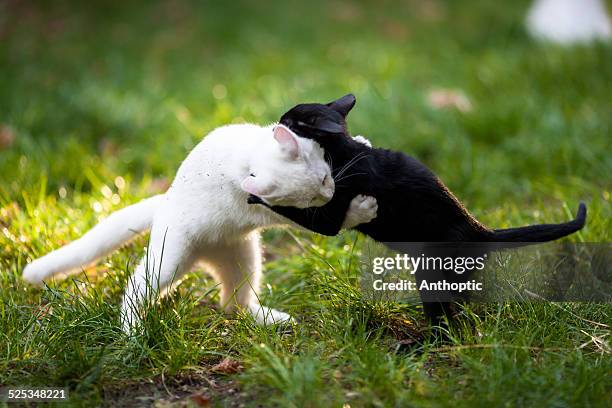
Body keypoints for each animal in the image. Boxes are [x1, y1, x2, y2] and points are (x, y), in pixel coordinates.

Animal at [22, 123, 378, 332]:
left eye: (324, 179)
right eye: (311, 198)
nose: (329, 193)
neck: (248, 158)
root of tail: (165, 201)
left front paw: (361, 140)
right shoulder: (285, 213)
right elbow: (335, 219)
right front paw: (362, 209)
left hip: (245, 259)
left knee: (234, 304)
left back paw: (267, 319)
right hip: (166, 262)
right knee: (135, 290)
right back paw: (132, 334)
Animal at [250, 94, 588, 324]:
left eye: (289, 122)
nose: (274, 124)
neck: (344, 150)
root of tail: (481, 230)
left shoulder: (331, 216)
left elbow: (295, 210)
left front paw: (256, 193)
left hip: (431, 268)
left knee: (445, 318)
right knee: (462, 304)